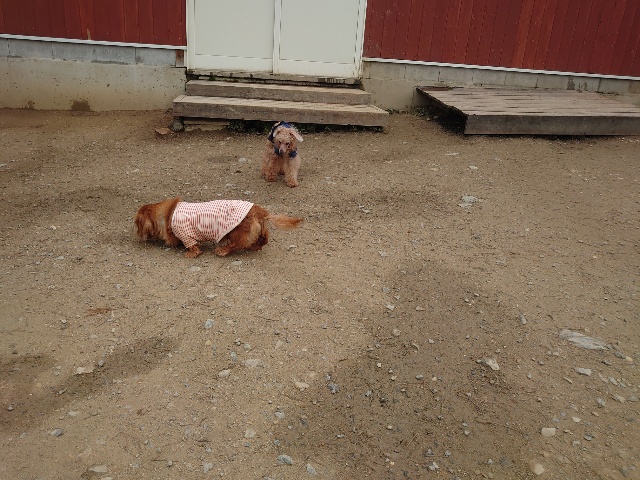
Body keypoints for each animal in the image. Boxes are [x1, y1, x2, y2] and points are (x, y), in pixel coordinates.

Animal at [134, 197, 302, 258]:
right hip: (258, 229)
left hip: (235, 231)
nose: (137, 235)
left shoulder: (186, 235)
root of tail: (259, 210)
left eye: (136, 224)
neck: (168, 214)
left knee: (236, 244)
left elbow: (193, 247)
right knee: (263, 240)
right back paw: (254, 246)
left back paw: (222, 250)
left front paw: (191, 253)